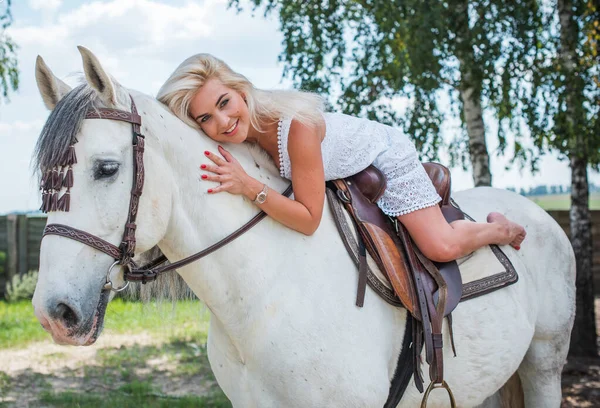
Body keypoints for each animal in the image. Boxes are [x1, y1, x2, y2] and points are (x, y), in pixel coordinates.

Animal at [31, 47, 576, 404]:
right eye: (46, 181)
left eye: (106, 168)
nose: (54, 313)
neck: (266, 294)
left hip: (543, 366)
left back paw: (504, 229)